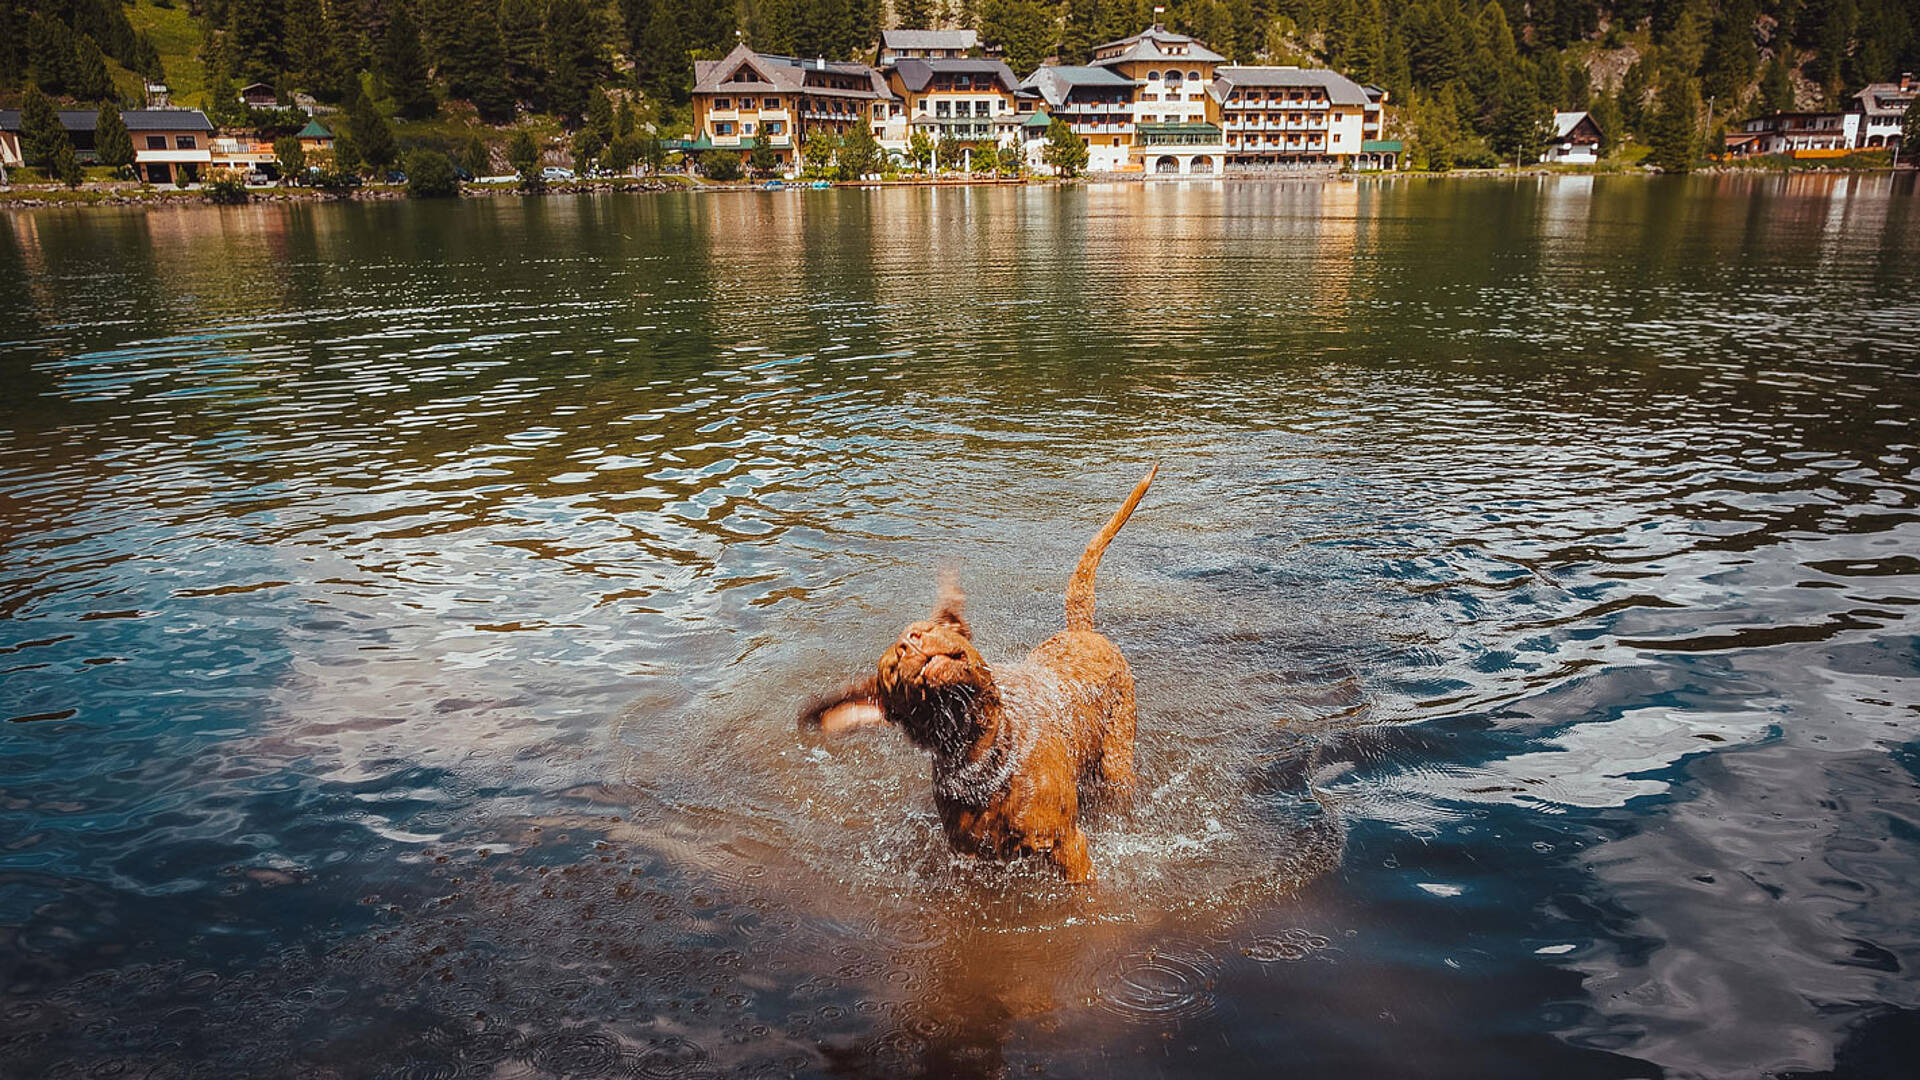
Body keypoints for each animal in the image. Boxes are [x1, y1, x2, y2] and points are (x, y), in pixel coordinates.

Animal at [798, 466, 1152, 880]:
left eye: (926, 628)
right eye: (890, 669)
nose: (909, 642)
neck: (980, 752)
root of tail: (1080, 630)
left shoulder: (1067, 843)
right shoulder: (970, 856)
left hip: (1116, 759)